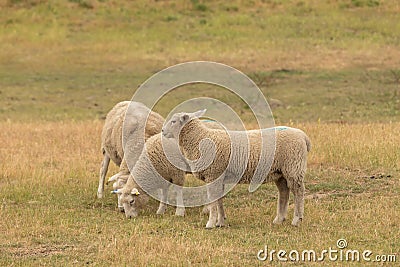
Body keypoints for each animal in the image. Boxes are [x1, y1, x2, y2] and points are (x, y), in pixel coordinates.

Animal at [161, 110, 310, 229]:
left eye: (173, 121)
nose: (162, 131)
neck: (199, 139)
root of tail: (303, 136)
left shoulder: (213, 174)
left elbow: (213, 201)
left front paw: (210, 223)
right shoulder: (218, 176)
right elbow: (219, 200)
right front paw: (220, 222)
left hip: (293, 167)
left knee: (299, 192)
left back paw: (297, 220)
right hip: (280, 172)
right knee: (284, 192)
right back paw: (279, 219)